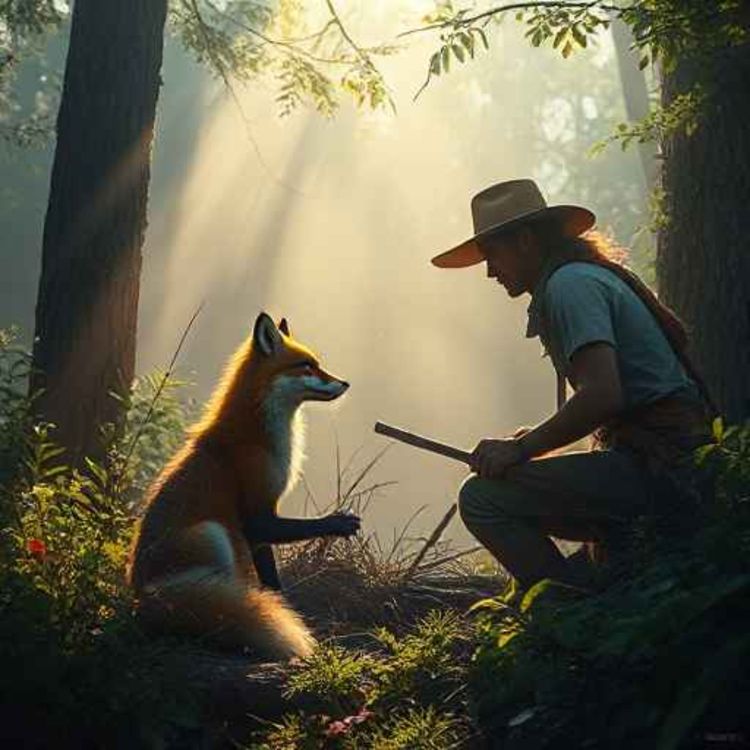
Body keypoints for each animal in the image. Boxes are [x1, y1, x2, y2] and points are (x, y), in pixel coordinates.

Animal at [127, 312, 360, 659]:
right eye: (306, 366)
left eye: (316, 364)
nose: (345, 383)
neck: (261, 438)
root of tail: (141, 599)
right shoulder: (258, 515)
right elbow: (302, 531)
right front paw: (339, 522)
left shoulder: (260, 531)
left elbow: (271, 581)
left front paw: (283, 608)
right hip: (212, 534)